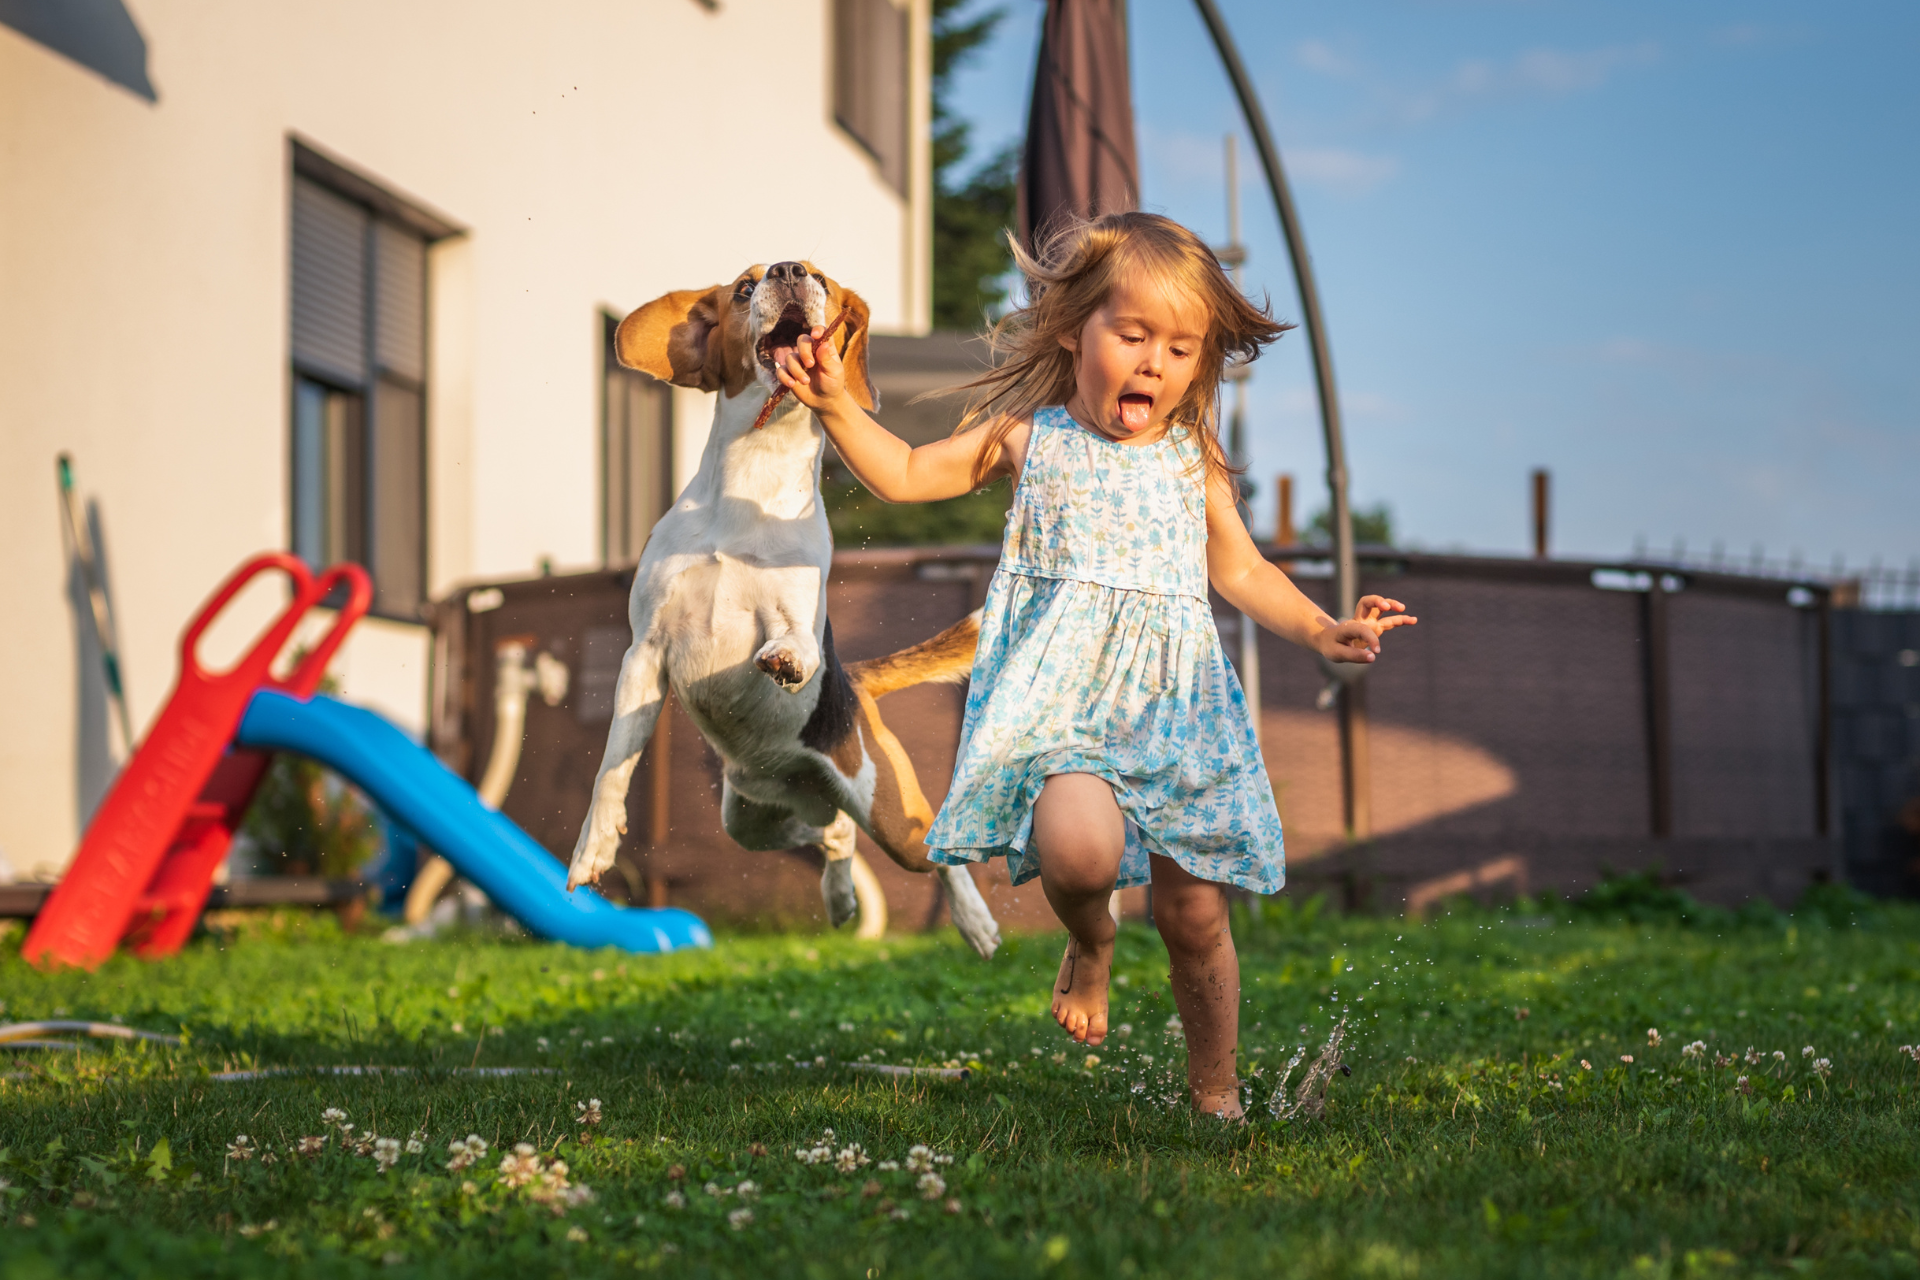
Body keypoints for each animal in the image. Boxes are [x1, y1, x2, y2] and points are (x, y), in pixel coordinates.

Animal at [568, 262, 1006, 959]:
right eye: (744, 290)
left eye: (821, 277)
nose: (789, 271)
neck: (758, 465)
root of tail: (856, 684)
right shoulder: (645, 654)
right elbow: (612, 767)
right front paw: (594, 847)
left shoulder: (791, 615)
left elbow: (791, 639)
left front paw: (785, 660)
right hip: (752, 820)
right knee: (833, 835)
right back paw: (842, 896)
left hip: (887, 810)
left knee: (933, 855)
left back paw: (975, 921)